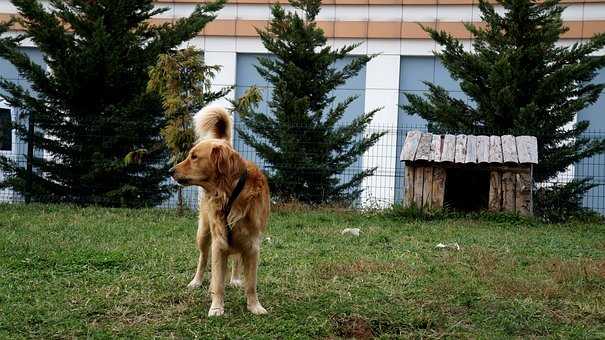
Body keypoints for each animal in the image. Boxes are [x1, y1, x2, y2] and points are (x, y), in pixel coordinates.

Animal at [172, 105, 272, 316]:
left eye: (194, 157)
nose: (170, 171)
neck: (231, 193)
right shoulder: (219, 243)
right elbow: (217, 282)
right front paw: (217, 307)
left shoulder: (252, 245)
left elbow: (251, 283)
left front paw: (255, 306)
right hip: (203, 233)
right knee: (203, 258)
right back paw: (196, 281)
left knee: (236, 260)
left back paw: (234, 279)